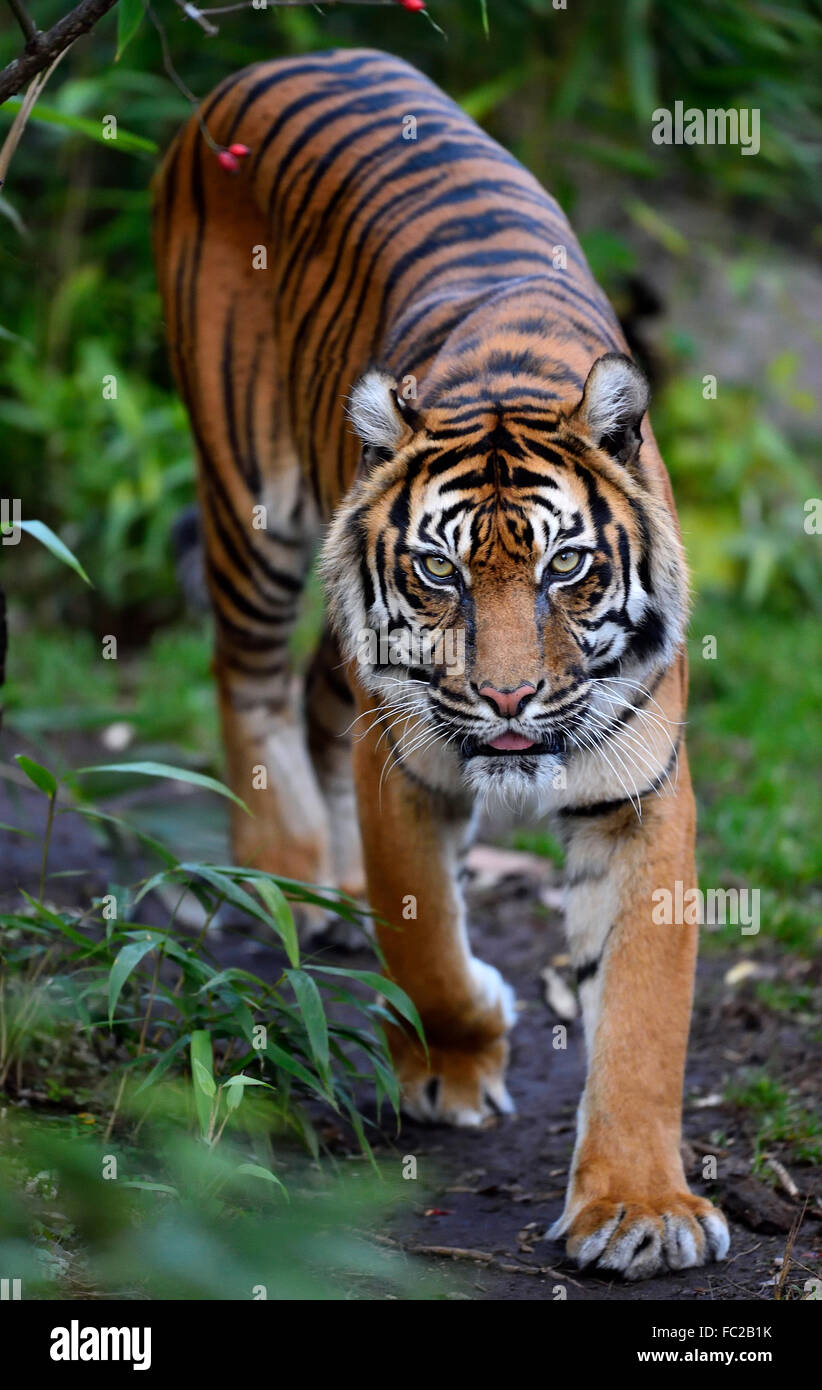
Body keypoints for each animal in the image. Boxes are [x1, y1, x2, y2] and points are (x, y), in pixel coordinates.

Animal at [150, 46, 728, 1278]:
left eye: (566, 567)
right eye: (438, 571)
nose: (506, 695)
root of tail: (284, 58)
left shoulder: (644, 793)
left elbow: (644, 1016)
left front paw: (638, 1207)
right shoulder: (404, 758)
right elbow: (426, 942)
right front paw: (458, 1063)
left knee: (303, 696)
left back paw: (320, 886)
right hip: (253, 503)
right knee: (246, 681)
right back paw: (287, 873)